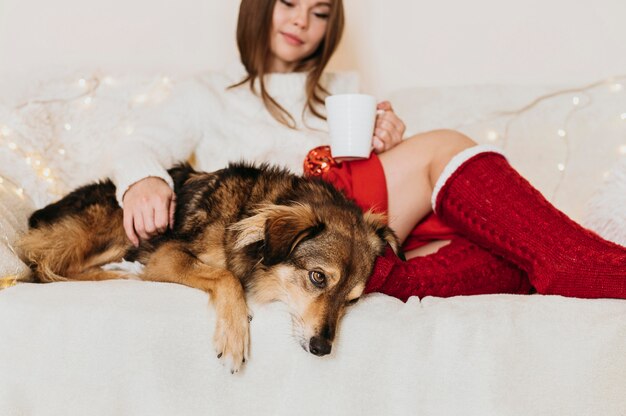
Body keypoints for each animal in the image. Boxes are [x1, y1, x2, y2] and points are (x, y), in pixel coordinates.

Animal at [20, 162, 400, 374]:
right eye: (318, 277)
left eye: (352, 300)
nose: (322, 349)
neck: (246, 213)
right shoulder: (165, 255)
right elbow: (226, 275)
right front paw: (234, 338)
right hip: (114, 224)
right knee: (43, 264)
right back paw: (115, 273)